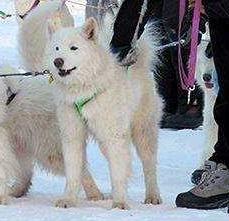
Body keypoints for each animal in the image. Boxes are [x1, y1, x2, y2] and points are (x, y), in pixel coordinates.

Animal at [45, 17, 163, 209]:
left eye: (73, 48)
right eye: (56, 48)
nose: (58, 61)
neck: (83, 88)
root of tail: (138, 63)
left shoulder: (114, 136)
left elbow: (117, 173)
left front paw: (120, 203)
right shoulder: (72, 135)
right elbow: (73, 171)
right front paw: (68, 200)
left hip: (143, 131)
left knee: (149, 165)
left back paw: (152, 196)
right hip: (105, 141)